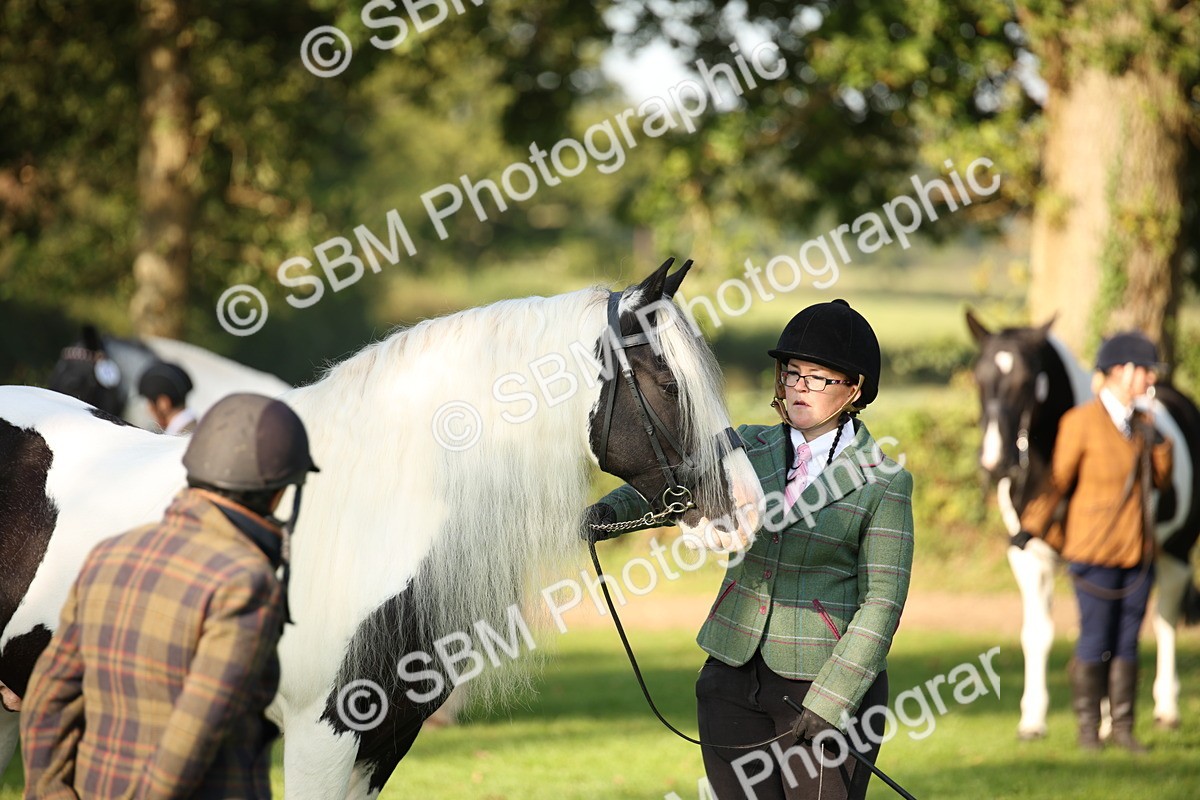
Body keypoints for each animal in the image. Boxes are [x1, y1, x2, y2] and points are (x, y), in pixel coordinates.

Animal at [965, 310, 1200, 739]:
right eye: (978, 376)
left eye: (1027, 380)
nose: (994, 462)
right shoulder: (1029, 557)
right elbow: (1038, 634)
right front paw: (1032, 720)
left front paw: (1104, 723)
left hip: (1175, 552)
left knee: (1165, 621)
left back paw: (1165, 708)